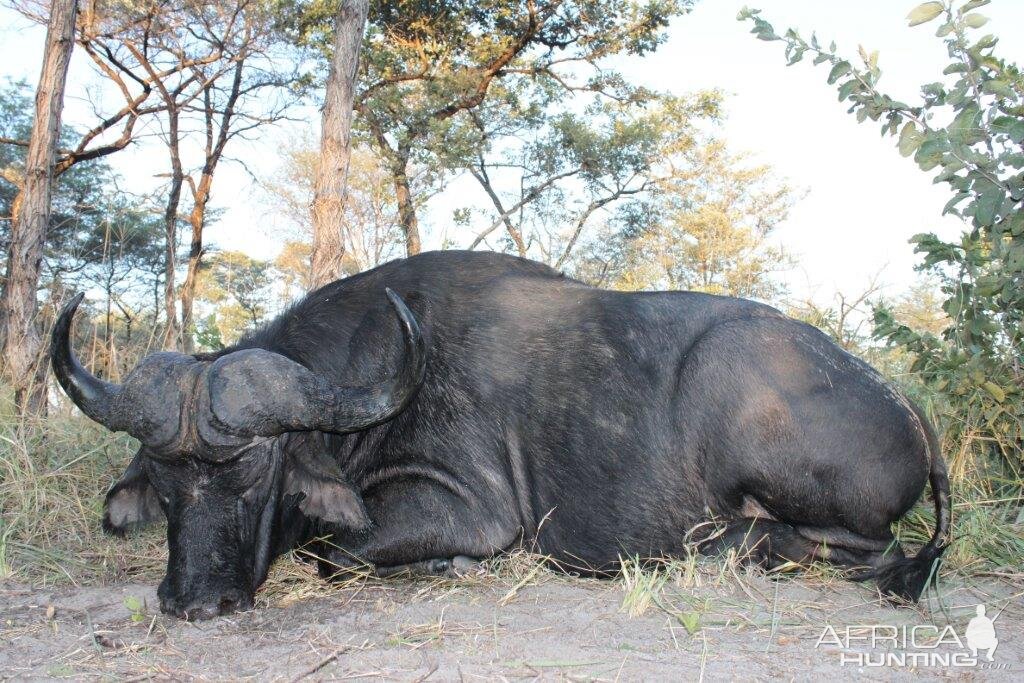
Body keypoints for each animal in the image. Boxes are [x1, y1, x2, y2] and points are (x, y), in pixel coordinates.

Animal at [54, 249, 950, 618]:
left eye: (249, 472)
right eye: (166, 485)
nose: (193, 602)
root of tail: (907, 407)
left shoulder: (473, 512)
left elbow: (334, 550)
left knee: (858, 550)